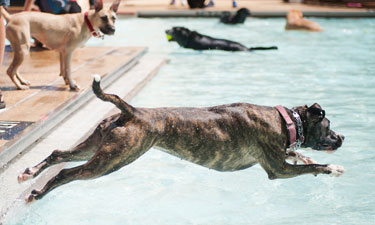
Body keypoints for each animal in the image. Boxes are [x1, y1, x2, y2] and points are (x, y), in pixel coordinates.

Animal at [18, 75, 346, 202]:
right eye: (329, 125)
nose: (342, 137)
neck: (286, 120)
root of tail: (132, 111)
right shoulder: (278, 170)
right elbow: (311, 167)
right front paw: (332, 169)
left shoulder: (281, 157)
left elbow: (300, 155)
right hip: (110, 161)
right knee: (66, 173)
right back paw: (39, 192)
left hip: (95, 146)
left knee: (58, 154)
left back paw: (29, 173)